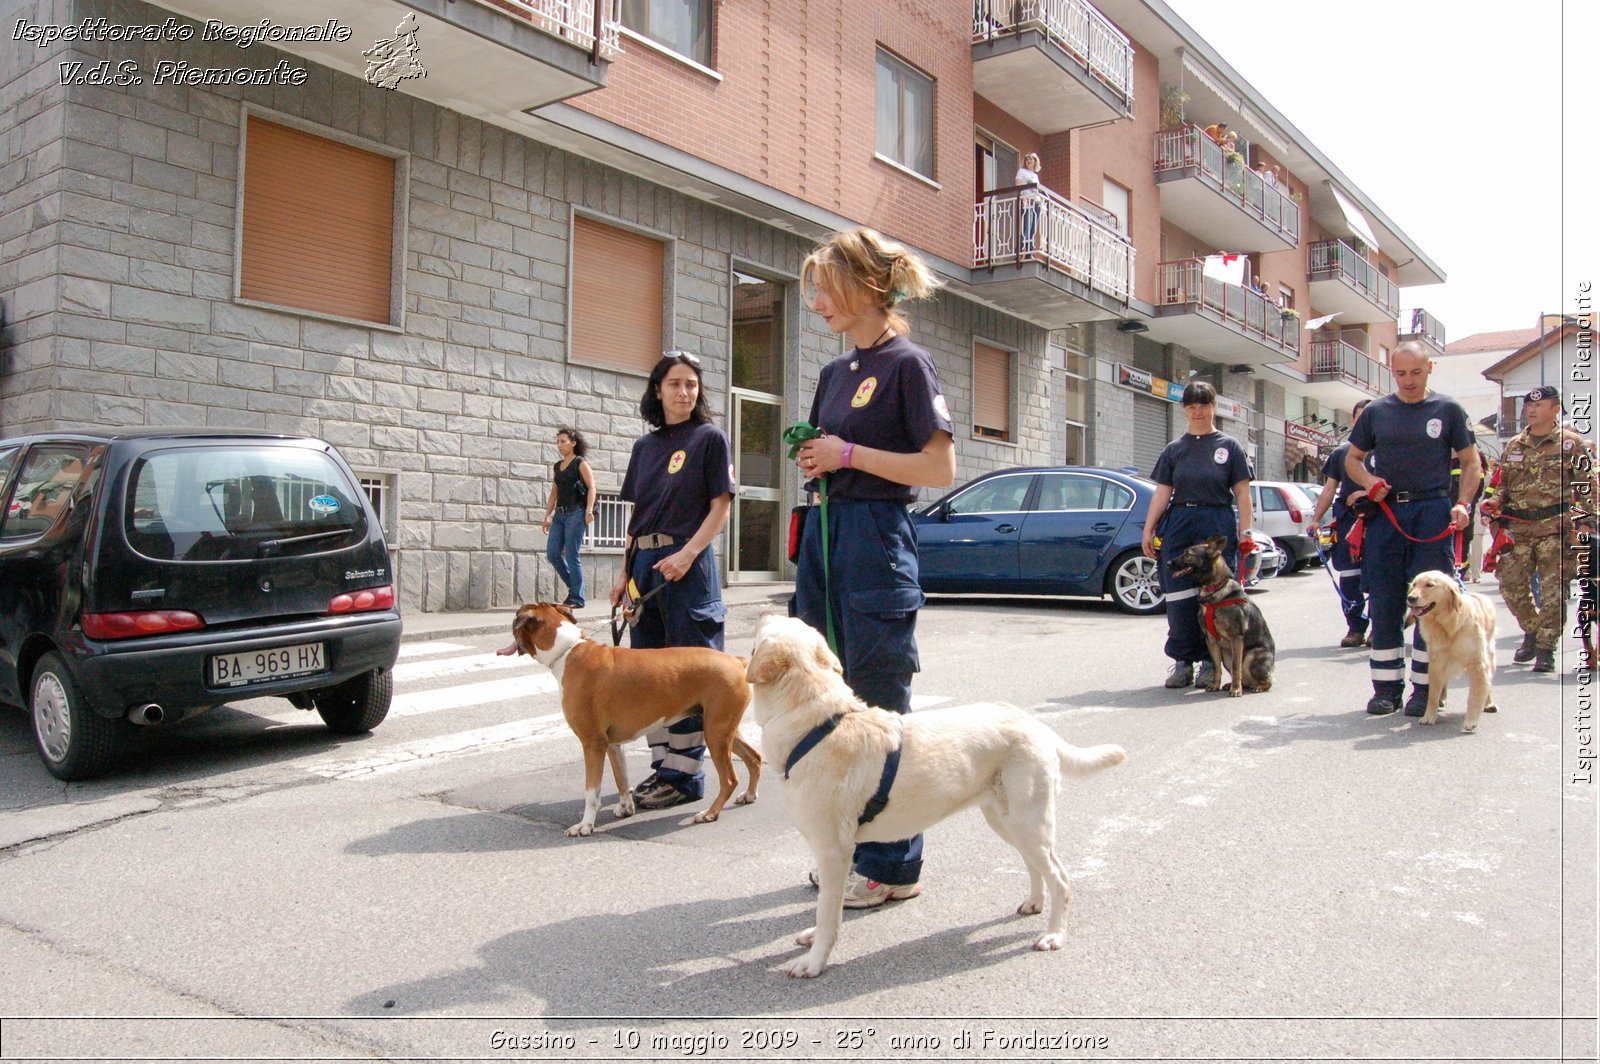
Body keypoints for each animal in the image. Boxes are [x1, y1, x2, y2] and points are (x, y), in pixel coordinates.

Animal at [745, 611, 1126, 972]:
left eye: (772, 626)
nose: (762, 611)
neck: (818, 726)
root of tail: (1035, 723)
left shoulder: (833, 852)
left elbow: (827, 912)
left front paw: (815, 961)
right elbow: (827, 905)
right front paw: (813, 941)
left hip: (1027, 823)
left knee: (1061, 878)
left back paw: (1054, 934)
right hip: (1006, 821)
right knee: (1035, 865)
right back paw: (1035, 903)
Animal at [1164, 534, 1273, 694]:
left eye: (1188, 554)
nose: (1167, 563)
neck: (1214, 588)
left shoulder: (1236, 638)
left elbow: (1236, 666)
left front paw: (1236, 690)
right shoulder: (1211, 640)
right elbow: (1216, 667)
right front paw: (1215, 685)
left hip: (1252, 655)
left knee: (1266, 680)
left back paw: (1256, 686)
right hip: (1226, 655)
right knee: (1242, 676)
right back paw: (1236, 685)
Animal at [1408, 572, 1491, 729]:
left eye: (1430, 585)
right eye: (1414, 584)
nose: (1410, 598)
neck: (1446, 624)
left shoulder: (1476, 663)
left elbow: (1475, 695)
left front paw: (1471, 720)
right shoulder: (1436, 663)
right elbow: (1432, 696)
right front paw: (1429, 716)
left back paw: (1489, 703)